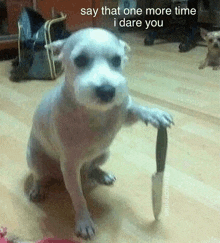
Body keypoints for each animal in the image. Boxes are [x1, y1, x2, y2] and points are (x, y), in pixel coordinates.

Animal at [26, 28, 173, 239]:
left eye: (117, 60)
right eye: (80, 60)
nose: (107, 91)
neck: (94, 112)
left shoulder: (123, 114)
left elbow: (135, 108)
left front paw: (154, 114)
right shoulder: (69, 166)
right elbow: (78, 197)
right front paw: (84, 221)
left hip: (104, 153)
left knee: (92, 167)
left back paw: (101, 174)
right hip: (35, 159)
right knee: (38, 176)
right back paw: (37, 189)